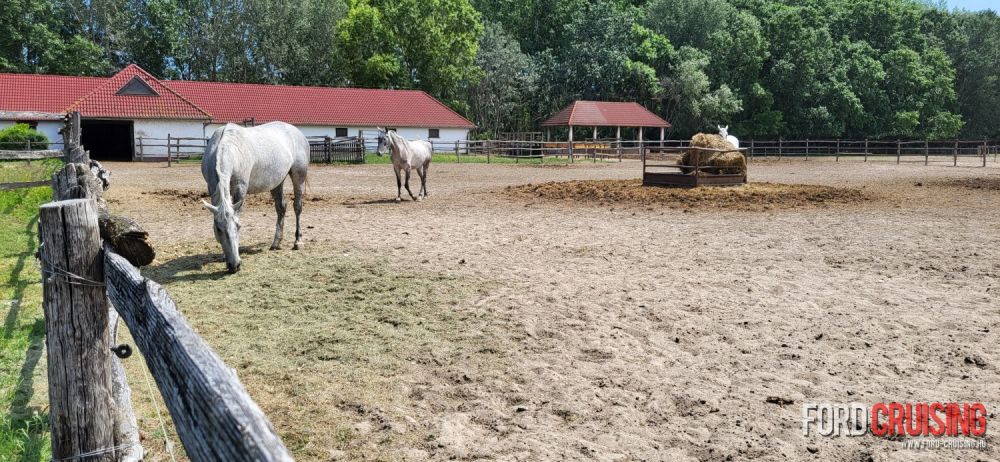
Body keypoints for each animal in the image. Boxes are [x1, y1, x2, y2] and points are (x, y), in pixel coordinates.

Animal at [202, 123, 308, 274]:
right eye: (218, 229)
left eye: (239, 226)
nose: (234, 265)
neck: (228, 147)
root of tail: (297, 132)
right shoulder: (211, 187)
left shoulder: (240, 188)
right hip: (277, 182)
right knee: (281, 207)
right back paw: (276, 243)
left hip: (299, 176)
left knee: (297, 207)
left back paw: (298, 242)